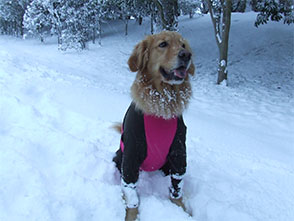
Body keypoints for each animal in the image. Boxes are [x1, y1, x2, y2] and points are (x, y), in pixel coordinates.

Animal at [113, 31, 194, 221]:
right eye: (163, 44)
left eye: (183, 45)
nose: (186, 55)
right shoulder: (131, 155)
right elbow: (131, 194)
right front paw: (131, 215)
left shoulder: (179, 152)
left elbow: (177, 188)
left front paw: (182, 211)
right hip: (119, 157)